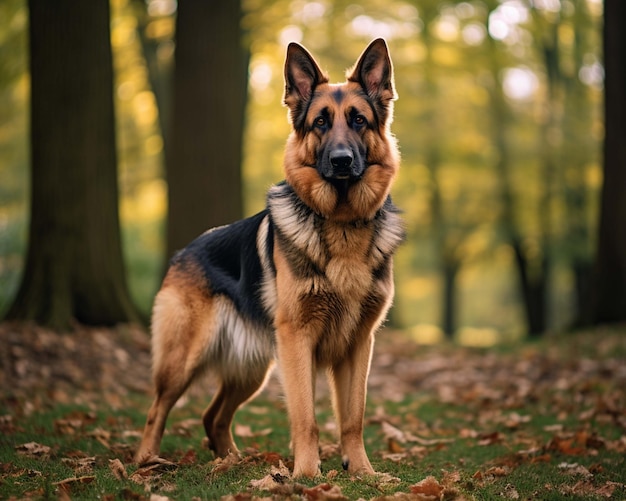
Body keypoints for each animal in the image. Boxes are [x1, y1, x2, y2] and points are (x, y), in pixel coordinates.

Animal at [134, 38, 402, 476]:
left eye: (359, 121)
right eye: (320, 122)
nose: (342, 160)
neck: (341, 221)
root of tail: (182, 252)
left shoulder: (360, 344)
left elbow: (353, 417)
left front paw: (364, 472)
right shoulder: (298, 340)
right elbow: (306, 417)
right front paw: (306, 475)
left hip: (253, 370)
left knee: (213, 416)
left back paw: (231, 461)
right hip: (183, 361)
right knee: (157, 409)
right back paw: (147, 461)